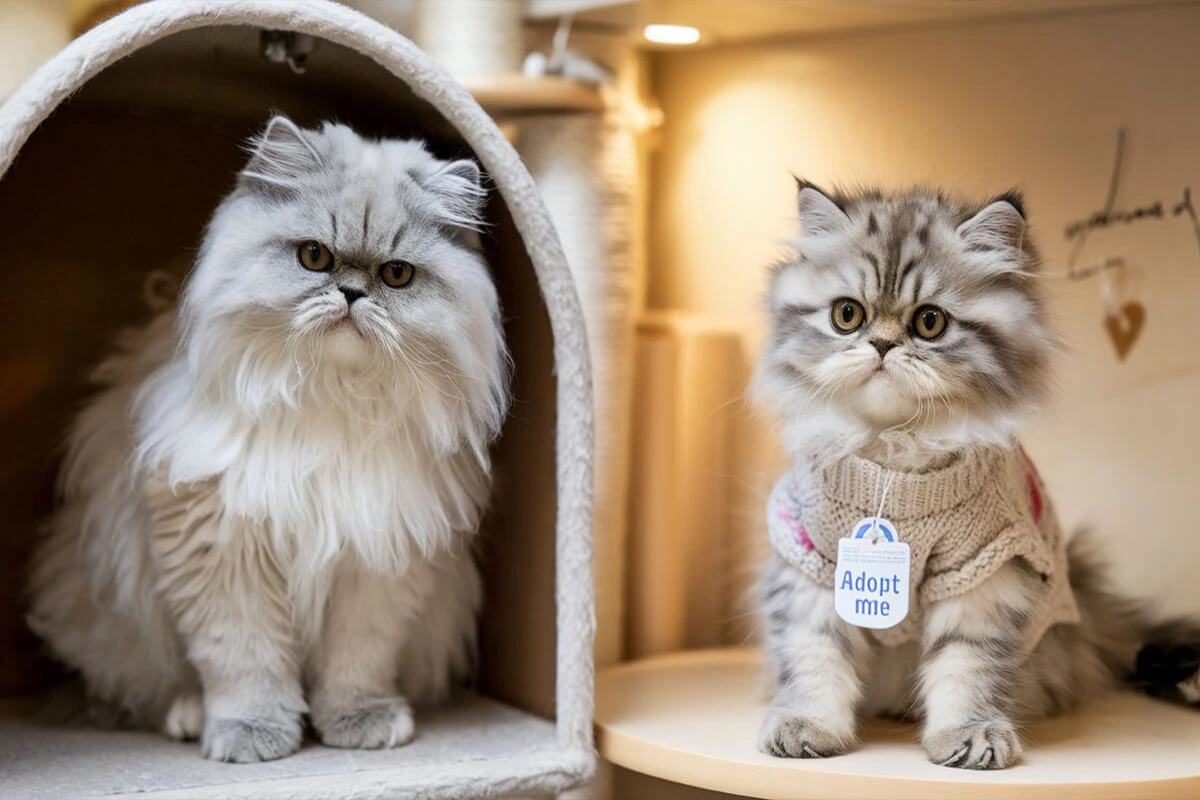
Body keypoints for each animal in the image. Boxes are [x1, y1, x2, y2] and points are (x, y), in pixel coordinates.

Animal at [28, 113, 506, 762]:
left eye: (396, 274)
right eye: (314, 257)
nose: (351, 295)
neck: (332, 400)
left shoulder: (376, 559)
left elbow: (357, 664)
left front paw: (357, 724)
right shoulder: (224, 551)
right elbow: (244, 662)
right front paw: (252, 736)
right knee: (155, 687)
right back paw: (189, 718)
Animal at [753, 181, 1195, 767]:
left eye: (929, 322)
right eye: (847, 315)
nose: (882, 345)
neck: (895, 461)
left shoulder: (984, 572)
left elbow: (965, 667)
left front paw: (968, 736)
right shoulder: (812, 569)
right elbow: (815, 659)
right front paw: (807, 727)